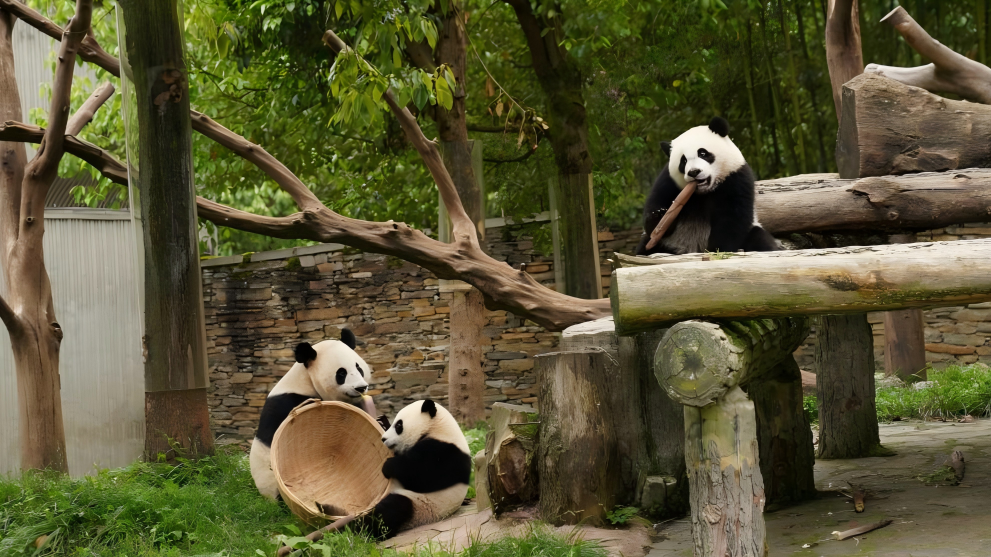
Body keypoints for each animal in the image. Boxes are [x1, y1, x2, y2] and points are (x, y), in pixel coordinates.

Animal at [249, 328, 381, 499]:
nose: (361, 388)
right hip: (272, 483)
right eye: (341, 373)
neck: (306, 380)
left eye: (359, 368)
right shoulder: (287, 402)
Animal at [315, 399, 471, 540]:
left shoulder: (444, 452)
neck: (438, 428)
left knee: (390, 511)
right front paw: (381, 422)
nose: (383, 439)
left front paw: (388, 466)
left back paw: (356, 530)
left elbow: (422, 478)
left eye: (399, 425)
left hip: (422, 505)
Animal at [635, 116, 779, 256]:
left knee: (759, 239)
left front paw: (718, 248)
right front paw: (659, 216)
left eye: (702, 153)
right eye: (683, 161)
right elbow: (656, 203)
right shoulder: (668, 181)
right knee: (644, 248)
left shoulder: (735, 178)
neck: (703, 192)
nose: (693, 172)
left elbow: (731, 218)